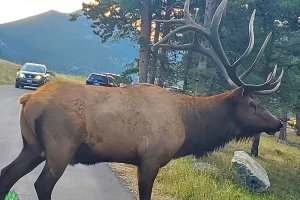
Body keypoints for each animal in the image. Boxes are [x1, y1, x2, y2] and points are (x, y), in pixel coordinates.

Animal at [0, 0, 284, 199]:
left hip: (32, 145)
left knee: (7, 175)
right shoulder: (150, 158)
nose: (278, 123)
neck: (187, 127)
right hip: (61, 145)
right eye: (253, 104)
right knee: (42, 185)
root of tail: (28, 99)